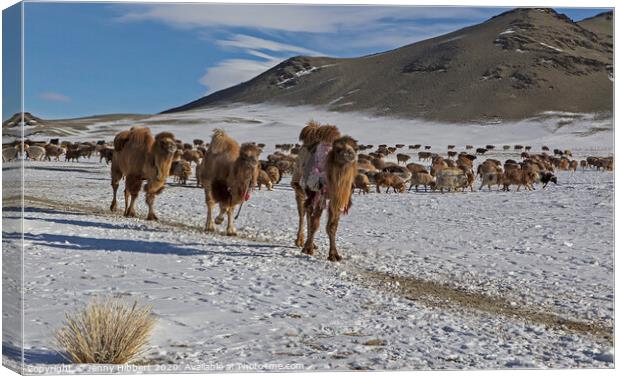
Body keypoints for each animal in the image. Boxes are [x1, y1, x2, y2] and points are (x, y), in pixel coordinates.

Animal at [292, 121, 358, 262]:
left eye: (356, 148)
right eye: (338, 149)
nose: (350, 153)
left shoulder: (336, 199)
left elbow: (332, 226)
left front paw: (334, 255)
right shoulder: (320, 193)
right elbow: (315, 223)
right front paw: (307, 249)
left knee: (308, 210)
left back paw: (311, 243)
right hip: (300, 186)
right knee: (302, 212)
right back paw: (300, 241)